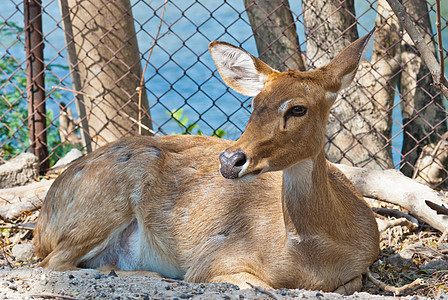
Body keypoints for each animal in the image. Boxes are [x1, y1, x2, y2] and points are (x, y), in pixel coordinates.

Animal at [33, 31, 380, 296]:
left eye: (298, 108)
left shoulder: (361, 266)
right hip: (104, 202)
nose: (230, 159)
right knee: (53, 263)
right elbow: (253, 285)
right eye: (255, 103)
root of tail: (41, 224)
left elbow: (352, 282)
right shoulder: (214, 257)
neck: (315, 256)